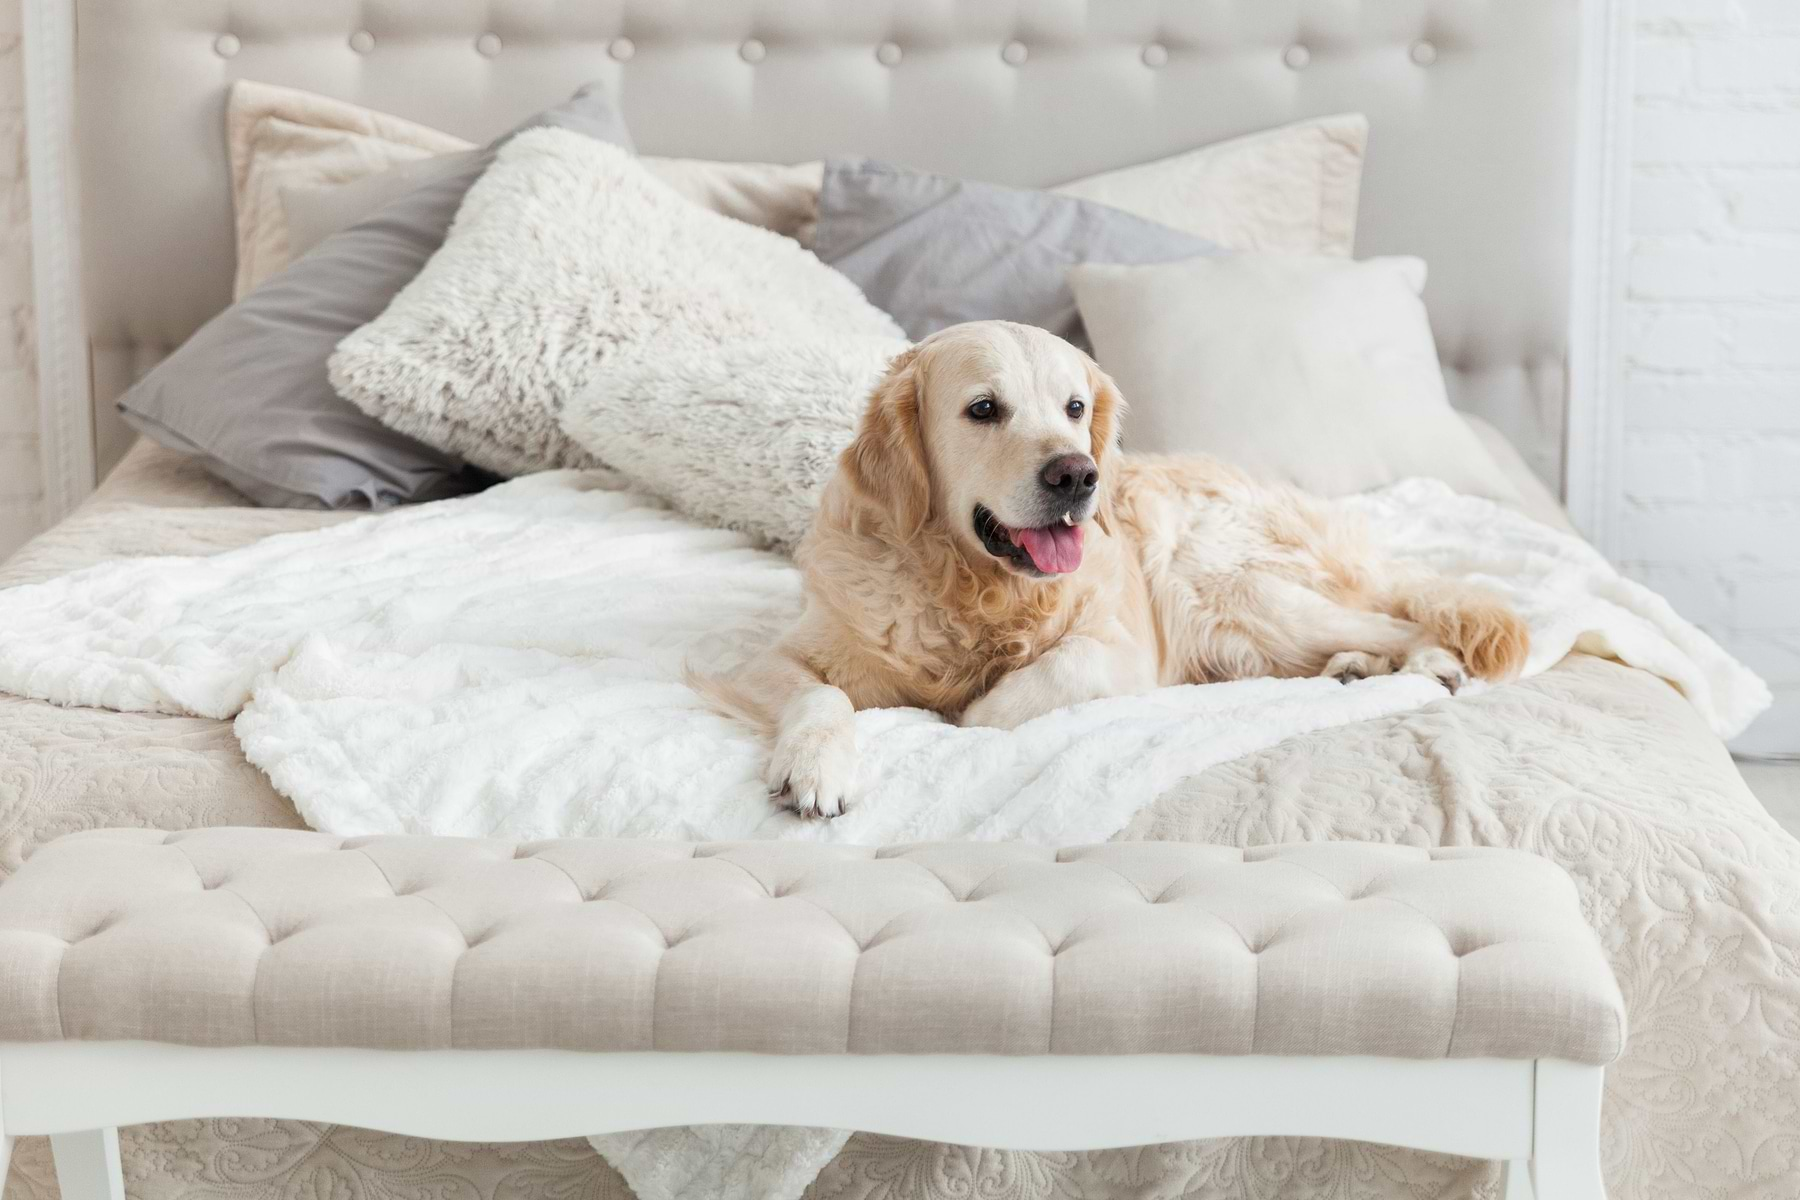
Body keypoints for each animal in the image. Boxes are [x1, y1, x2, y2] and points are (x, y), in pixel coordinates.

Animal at [723, 323, 1526, 820]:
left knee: (1392, 612)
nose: (1078, 475)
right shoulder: (778, 657)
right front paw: (815, 770)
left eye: (1076, 408)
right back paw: (1357, 668)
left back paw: (1426, 663)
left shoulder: (1123, 649)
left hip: (1230, 593)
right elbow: (822, 695)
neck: (973, 591)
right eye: (983, 409)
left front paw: (961, 715)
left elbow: (1025, 690)